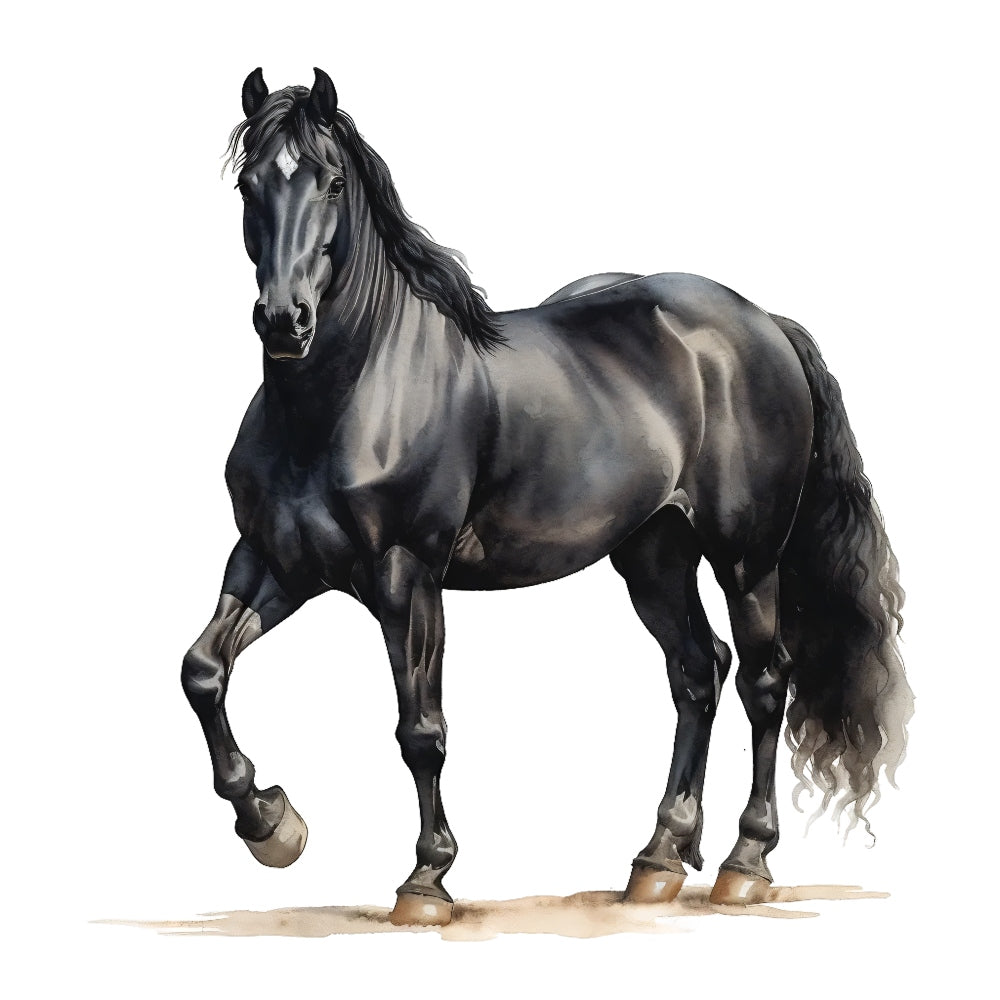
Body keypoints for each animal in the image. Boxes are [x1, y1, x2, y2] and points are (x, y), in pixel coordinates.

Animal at [181, 67, 913, 926]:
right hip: (653, 556)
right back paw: (658, 860)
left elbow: (421, 729)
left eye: (330, 181)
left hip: (746, 558)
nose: (284, 320)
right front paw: (272, 823)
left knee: (765, 684)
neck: (351, 396)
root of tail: (763, 322)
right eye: (249, 183)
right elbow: (203, 671)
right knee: (698, 672)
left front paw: (426, 879)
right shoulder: (276, 562)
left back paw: (745, 864)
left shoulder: (406, 576)